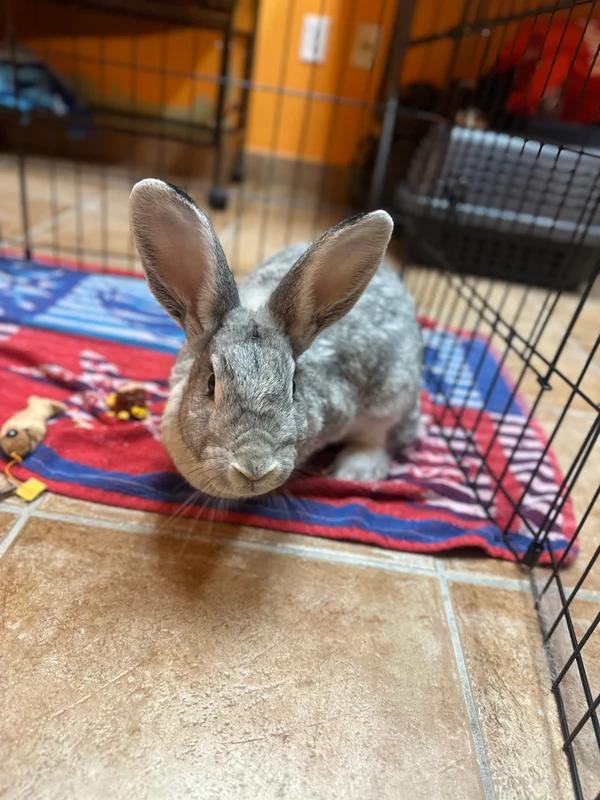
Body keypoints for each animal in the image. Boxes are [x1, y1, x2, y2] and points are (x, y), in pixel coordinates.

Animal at [129, 179, 422, 499]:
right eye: (211, 383)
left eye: (293, 387)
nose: (255, 467)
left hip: (390, 397)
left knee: (379, 438)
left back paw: (355, 471)